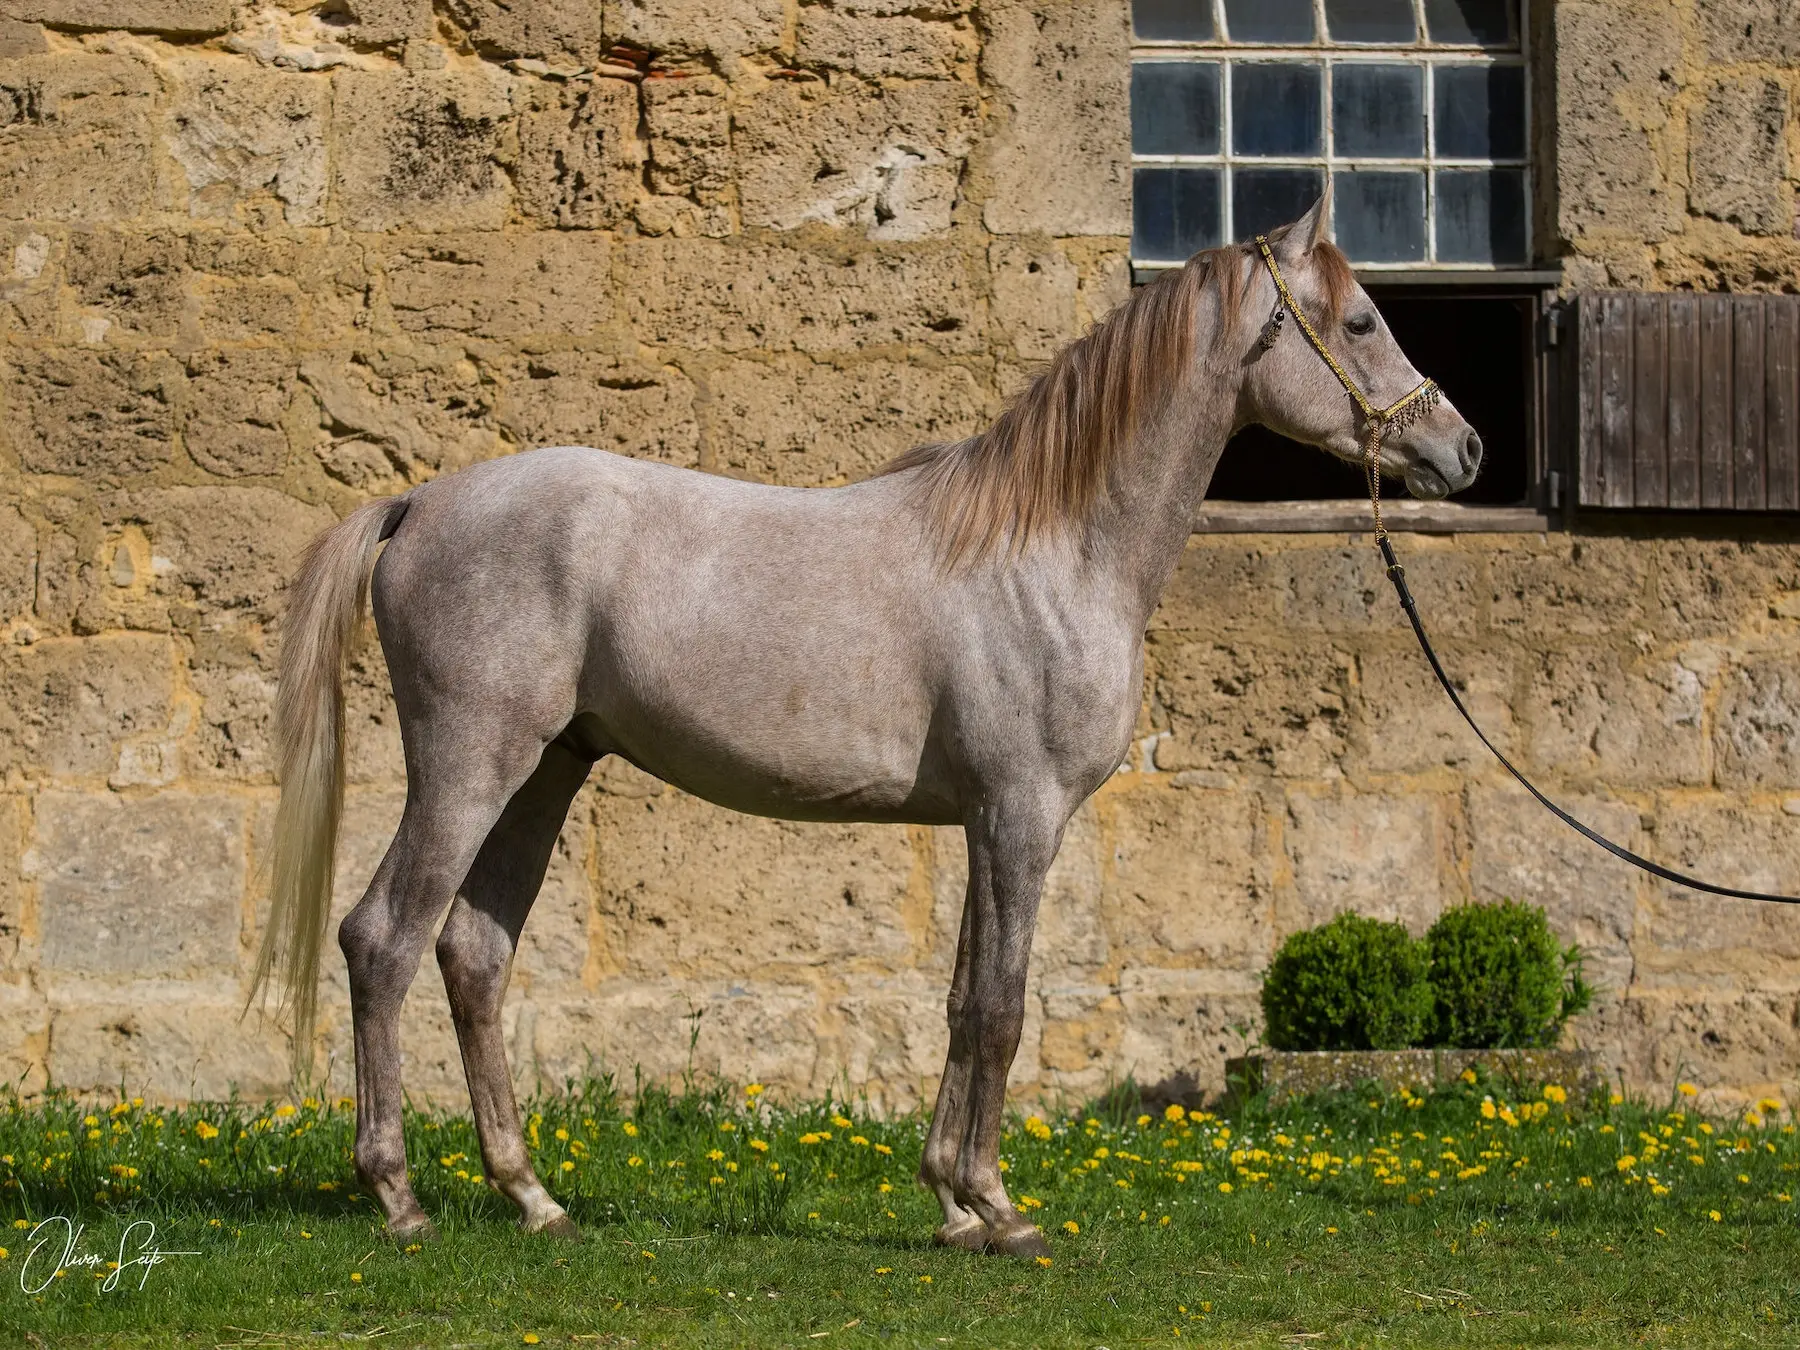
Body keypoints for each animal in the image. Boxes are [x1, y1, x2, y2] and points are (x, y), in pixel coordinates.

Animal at [257, 198, 1490, 1260]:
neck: (1052, 548)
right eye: (1362, 320)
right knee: (383, 940)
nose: (1465, 450)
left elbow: (960, 1000)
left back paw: (532, 1197)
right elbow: (1001, 1008)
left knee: (473, 955)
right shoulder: (1023, 816)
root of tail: (420, 504)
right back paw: (401, 1199)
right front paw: (1001, 1207)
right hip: (470, 768)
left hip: (545, 775)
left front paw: (950, 1203)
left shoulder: (985, 821)